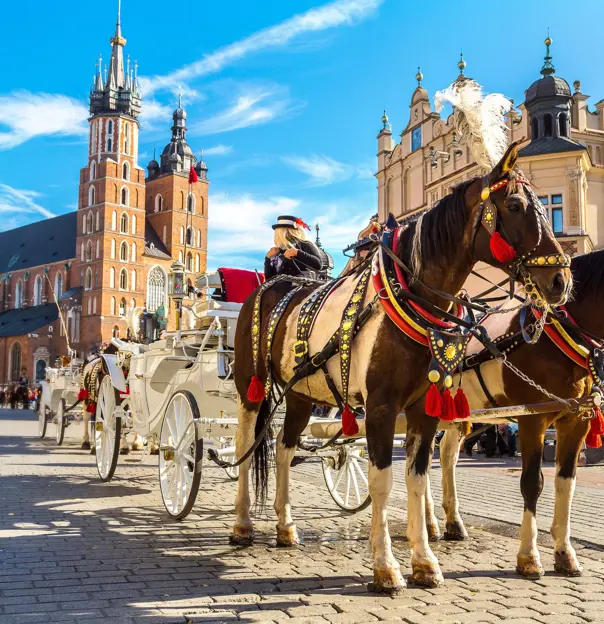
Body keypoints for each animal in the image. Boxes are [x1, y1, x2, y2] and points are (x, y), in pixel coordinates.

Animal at [234, 143, 572, 596]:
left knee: (285, 449)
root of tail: (272, 286)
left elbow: (416, 477)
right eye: (516, 205)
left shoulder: (422, 408)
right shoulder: (380, 406)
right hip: (249, 385)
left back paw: (286, 527)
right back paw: (242, 524)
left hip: (301, 392)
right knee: (245, 443)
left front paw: (424, 561)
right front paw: (385, 567)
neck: (410, 298)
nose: (560, 281)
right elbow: (383, 481)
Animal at [432, 249, 604, 580]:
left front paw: (564, 553)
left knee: (444, 457)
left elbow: (566, 482)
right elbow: (532, 483)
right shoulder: (532, 419)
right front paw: (529, 556)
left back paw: (447, 524)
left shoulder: (576, 420)